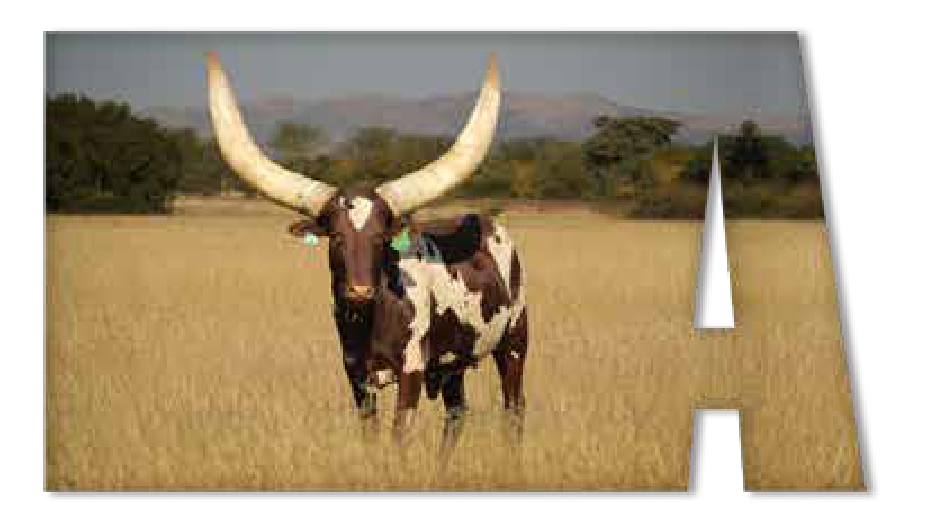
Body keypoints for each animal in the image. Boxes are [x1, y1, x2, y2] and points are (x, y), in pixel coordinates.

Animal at [205, 53, 527, 462]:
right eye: (337, 238)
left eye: (379, 239)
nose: (360, 292)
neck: (373, 320)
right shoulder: (356, 375)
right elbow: (371, 436)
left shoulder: (412, 371)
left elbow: (398, 436)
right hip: (452, 366)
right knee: (456, 415)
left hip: (514, 343)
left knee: (514, 409)